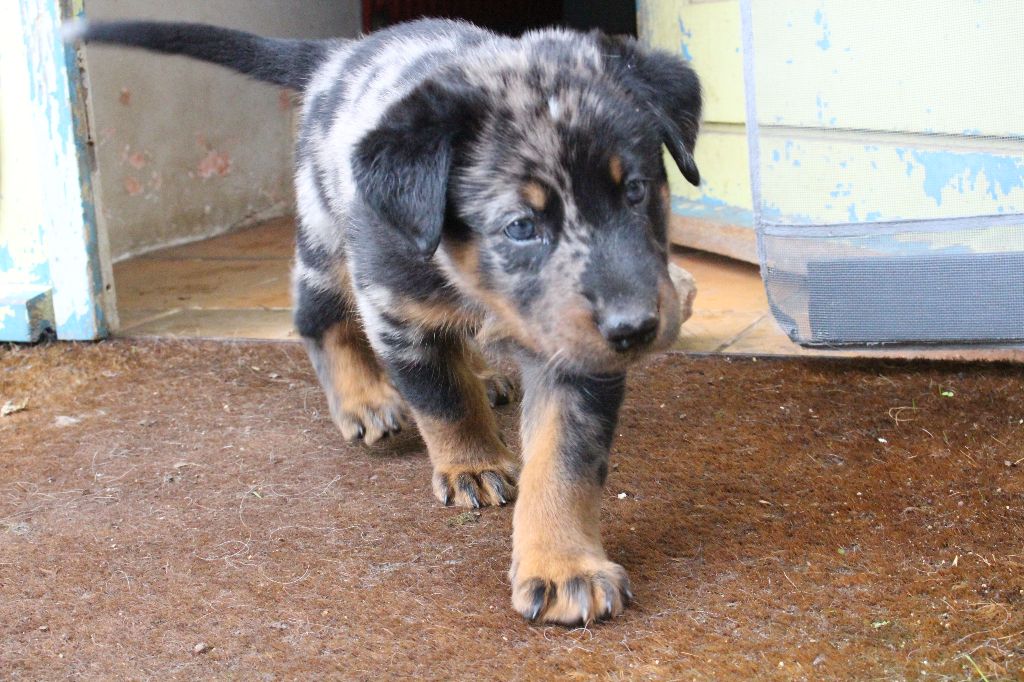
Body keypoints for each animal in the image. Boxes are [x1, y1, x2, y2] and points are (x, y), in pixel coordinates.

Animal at [66, 17, 701, 625]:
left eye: (636, 191)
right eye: (521, 226)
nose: (635, 327)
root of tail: (338, 52)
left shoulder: (574, 352)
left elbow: (564, 463)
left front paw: (564, 566)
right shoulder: (397, 309)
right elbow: (443, 400)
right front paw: (471, 464)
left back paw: (484, 375)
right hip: (324, 237)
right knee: (319, 316)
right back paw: (365, 399)